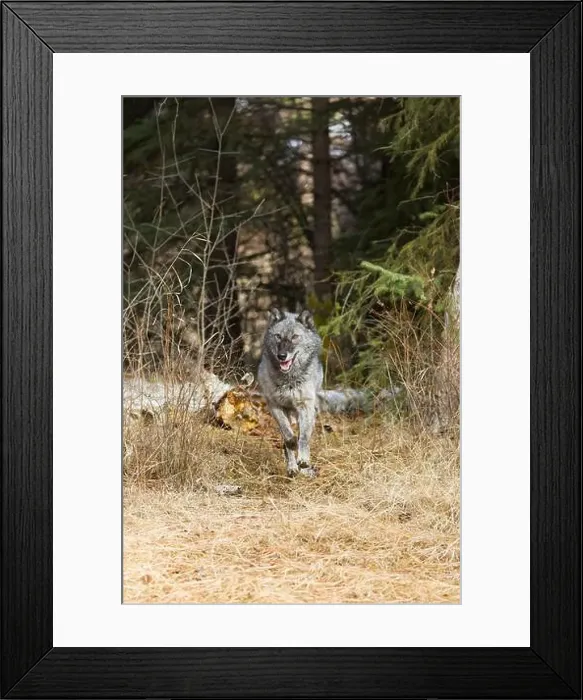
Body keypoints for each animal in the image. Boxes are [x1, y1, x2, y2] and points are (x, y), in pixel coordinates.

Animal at [258, 308, 323, 477]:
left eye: (294, 337)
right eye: (278, 336)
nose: (282, 356)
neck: (289, 381)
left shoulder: (305, 406)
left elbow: (304, 437)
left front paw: (304, 461)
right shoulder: (275, 406)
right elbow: (288, 436)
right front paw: (292, 451)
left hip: (308, 413)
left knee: (304, 434)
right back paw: (292, 468)